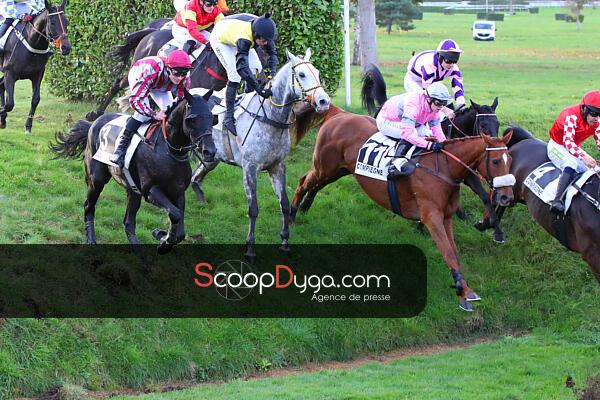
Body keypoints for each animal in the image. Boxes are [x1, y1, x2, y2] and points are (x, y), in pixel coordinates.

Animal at [0, 0, 71, 133]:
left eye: (67, 22)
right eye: (52, 22)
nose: (66, 47)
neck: (31, 41)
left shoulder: (37, 74)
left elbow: (35, 100)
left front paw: (28, 126)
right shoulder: (10, 73)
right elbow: (9, 104)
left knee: (0, 86)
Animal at [50, 90, 216, 256]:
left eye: (212, 117)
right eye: (191, 119)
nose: (210, 151)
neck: (168, 150)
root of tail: (94, 123)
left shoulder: (178, 193)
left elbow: (180, 227)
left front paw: (162, 236)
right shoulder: (151, 190)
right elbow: (175, 214)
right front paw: (163, 238)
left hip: (133, 190)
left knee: (128, 223)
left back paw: (140, 254)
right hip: (96, 179)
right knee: (89, 206)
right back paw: (91, 240)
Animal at [190, 48, 331, 260]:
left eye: (318, 73)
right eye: (301, 75)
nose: (324, 101)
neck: (270, 118)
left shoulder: (277, 166)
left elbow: (285, 204)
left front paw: (285, 242)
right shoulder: (250, 167)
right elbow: (253, 209)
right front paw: (250, 248)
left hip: (211, 156)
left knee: (195, 176)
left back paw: (201, 200)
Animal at [290, 103, 515, 311]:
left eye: (510, 159)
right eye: (496, 161)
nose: (506, 196)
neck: (444, 167)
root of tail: (339, 113)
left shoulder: (447, 216)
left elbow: (454, 252)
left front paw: (466, 288)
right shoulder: (432, 217)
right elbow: (448, 253)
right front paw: (462, 292)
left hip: (338, 169)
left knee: (315, 184)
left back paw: (304, 208)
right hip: (324, 166)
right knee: (302, 183)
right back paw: (291, 217)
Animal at [360, 66, 507, 242]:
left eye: (498, 124)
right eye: (483, 125)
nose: (496, 146)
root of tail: (384, 104)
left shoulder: (467, 172)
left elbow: (485, 196)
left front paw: (494, 229)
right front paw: (421, 224)